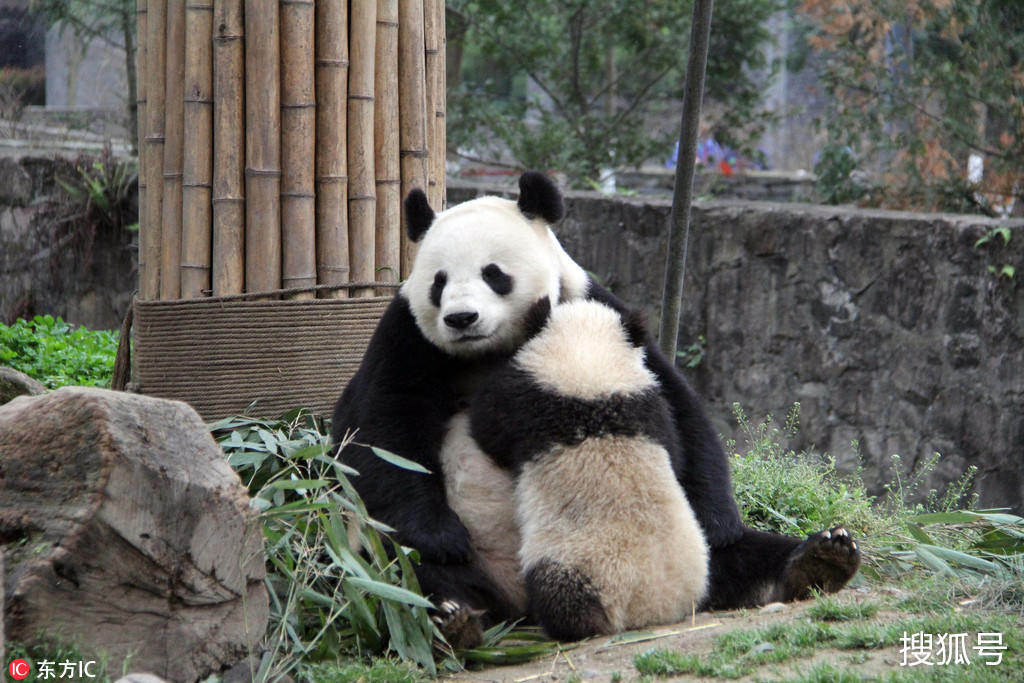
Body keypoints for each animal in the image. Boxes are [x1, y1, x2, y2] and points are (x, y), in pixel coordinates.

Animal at [468, 296, 708, 643]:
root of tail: (646, 607)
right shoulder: (652, 407)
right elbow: (676, 452)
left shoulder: (527, 400)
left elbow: (488, 424)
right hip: (692, 562)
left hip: (576, 565)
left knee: (558, 595)